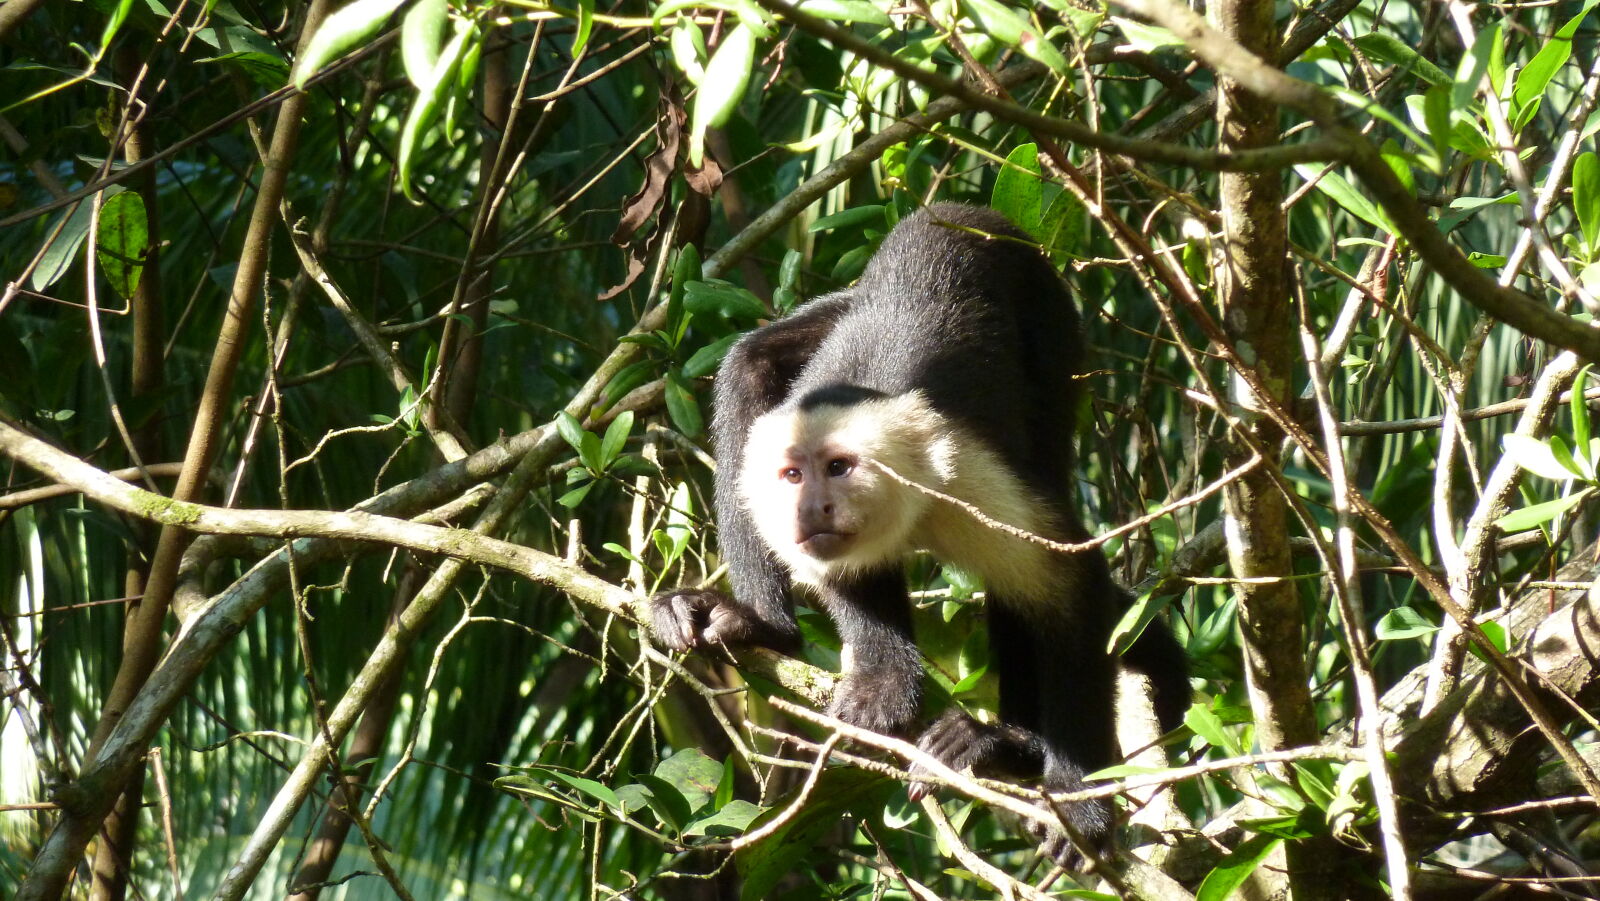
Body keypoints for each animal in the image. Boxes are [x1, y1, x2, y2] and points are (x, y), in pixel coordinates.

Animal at [651, 202, 1189, 851]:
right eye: (791, 475)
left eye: (838, 467)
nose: (809, 509)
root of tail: (958, 210)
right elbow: (849, 576)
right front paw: (885, 683)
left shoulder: (963, 476)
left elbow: (1068, 584)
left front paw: (1077, 796)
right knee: (748, 364)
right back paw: (762, 626)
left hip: (1052, 321)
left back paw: (1010, 747)